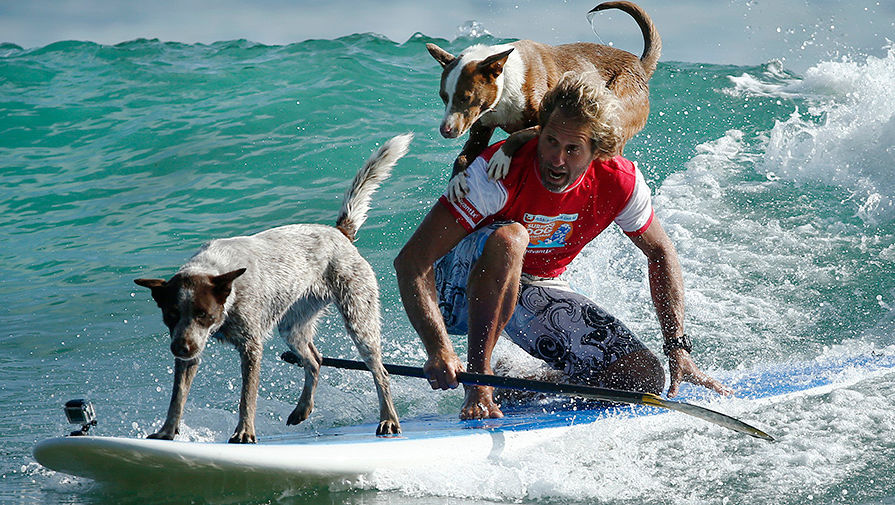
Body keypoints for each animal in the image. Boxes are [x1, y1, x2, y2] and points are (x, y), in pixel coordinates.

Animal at [134, 133, 412, 440]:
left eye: (204, 314)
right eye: (170, 315)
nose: (180, 349)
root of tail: (340, 232)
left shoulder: (250, 346)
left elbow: (247, 396)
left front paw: (244, 432)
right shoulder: (192, 348)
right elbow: (178, 396)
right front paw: (166, 431)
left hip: (359, 319)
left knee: (380, 372)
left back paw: (388, 419)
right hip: (292, 325)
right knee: (315, 359)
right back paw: (302, 408)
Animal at [430, 0, 660, 200]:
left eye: (465, 97)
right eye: (443, 97)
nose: (445, 131)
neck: (505, 87)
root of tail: (639, 65)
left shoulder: (545, 123)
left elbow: (519, 135)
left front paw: (501, 156)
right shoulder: (480, 129)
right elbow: (463, 156)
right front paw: (456, 179)